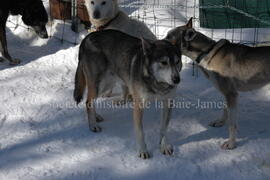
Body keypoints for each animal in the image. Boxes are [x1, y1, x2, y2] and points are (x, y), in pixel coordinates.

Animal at [74, 29, 181, 159]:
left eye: (177, 62)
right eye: (164, 62)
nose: (177, 79)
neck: (157, 84)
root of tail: (86, 38)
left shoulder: (168, 103)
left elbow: (164, 129)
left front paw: (164, 147)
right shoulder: (139, 106)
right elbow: (140, 132)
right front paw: (142, 151)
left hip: (106, 85)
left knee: (91, 102)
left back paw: (96, 116)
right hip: (99, 85)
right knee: (88, 102)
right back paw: (93, 125)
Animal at [166, 18, 270, 150]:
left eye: (169, 37)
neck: (206, 52)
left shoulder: (231, 94)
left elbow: (232, 125)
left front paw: (231, 144)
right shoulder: (227, 94)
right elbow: (225, 110)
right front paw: (220, 122)